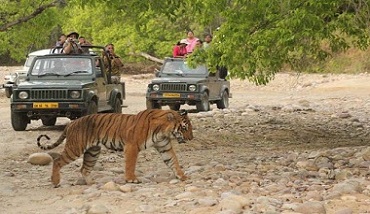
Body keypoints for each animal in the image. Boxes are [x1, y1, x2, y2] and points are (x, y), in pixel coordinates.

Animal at [36, 109, 194, 186]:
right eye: (184, 128)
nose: (191, 138)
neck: (163, 131)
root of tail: (71, 123)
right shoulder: (132, 146)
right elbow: (130, 164)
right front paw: (131, 179)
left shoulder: (164, 147)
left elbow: (173, 161)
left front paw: (183, 176)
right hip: (75, 148)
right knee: (57, 161)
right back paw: (55, 182)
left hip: (93, 152)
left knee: (84, 169)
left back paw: (91, 183)